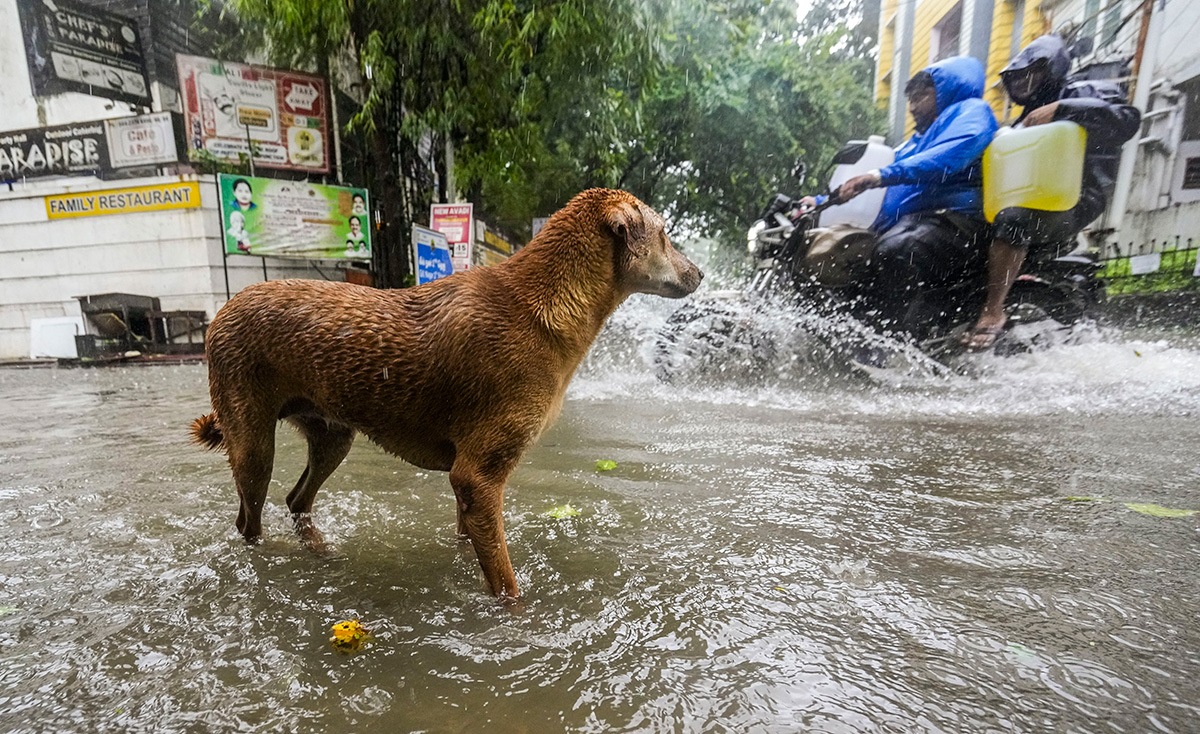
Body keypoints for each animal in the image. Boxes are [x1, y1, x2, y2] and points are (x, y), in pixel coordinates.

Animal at [190, 188, 700, 597]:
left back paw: (323, 554)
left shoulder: (469, 485)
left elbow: (467, 542)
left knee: (298, 500)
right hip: (253, 443)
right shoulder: (478, 477)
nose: (699, 274)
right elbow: (506, 583)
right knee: (248, 521)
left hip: (333, 435)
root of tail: (222, 311)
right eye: (665, 234)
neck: (543, 304)